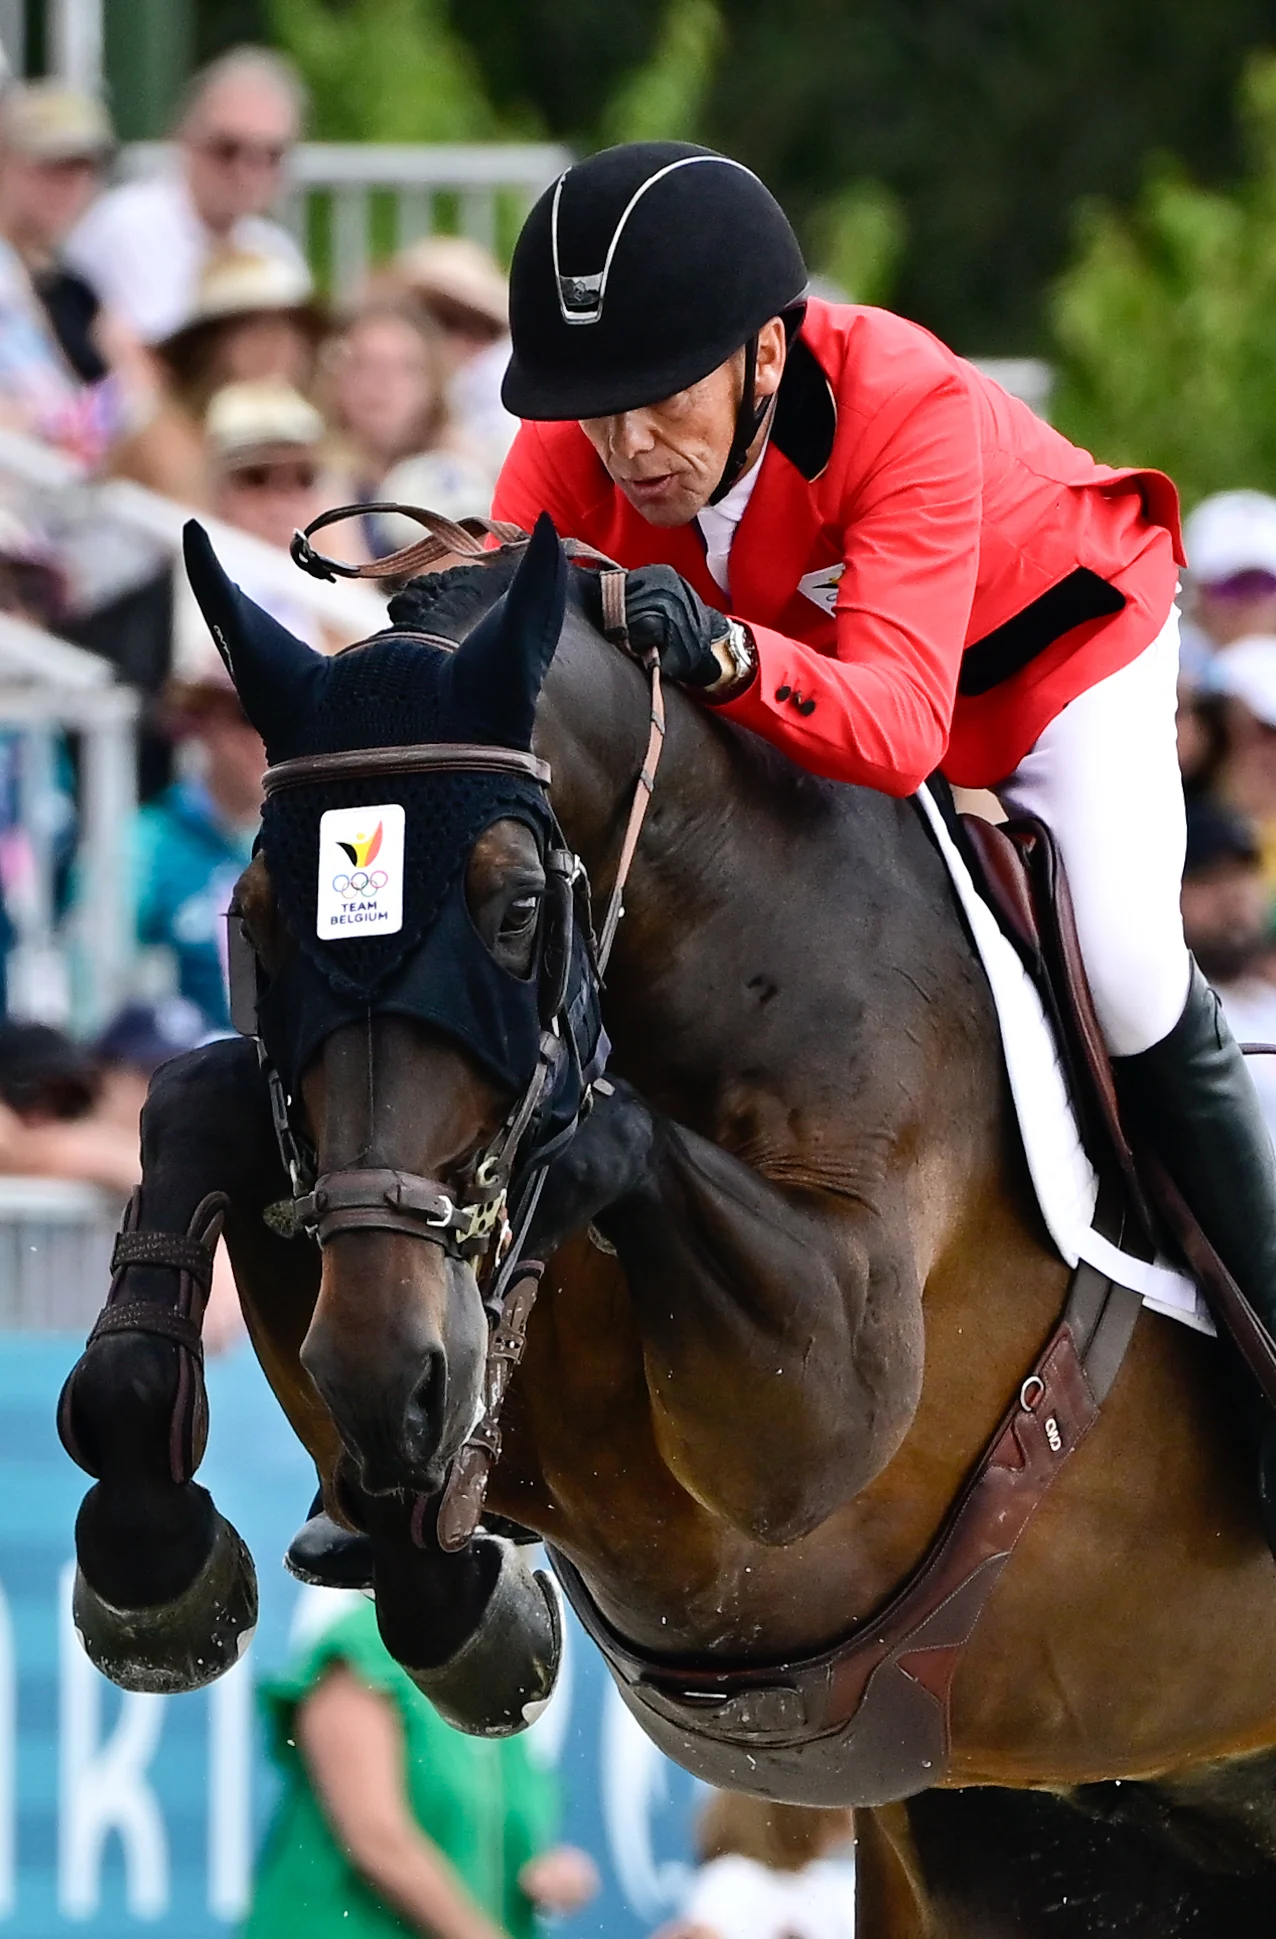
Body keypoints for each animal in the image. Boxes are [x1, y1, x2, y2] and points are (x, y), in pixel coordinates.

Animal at [59, 508, 1276, 1931]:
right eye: (250, 916)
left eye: (516, 908)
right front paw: (160, 1554)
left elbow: (607, 1148)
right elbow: (199, 1097)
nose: (386, 1370)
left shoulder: (800, 1443)